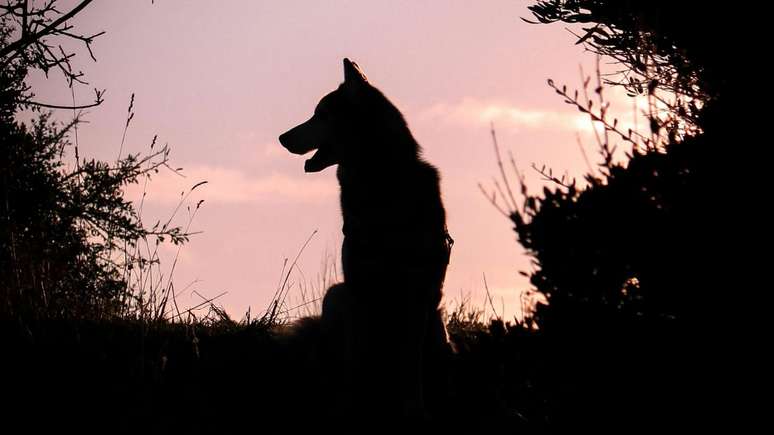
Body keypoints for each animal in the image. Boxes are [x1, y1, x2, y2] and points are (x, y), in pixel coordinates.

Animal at [279, 59, 453, 423]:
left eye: (321, 114)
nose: (282, 138)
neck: (380, 185)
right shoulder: (358, 286)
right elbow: (355, 363)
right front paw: (348, 408)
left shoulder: (418, 292)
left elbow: (410, 366)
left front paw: (414, 410)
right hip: (336, 296)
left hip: (436, 324)